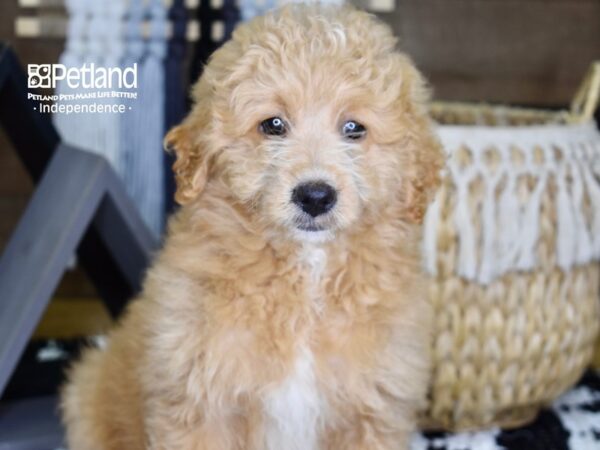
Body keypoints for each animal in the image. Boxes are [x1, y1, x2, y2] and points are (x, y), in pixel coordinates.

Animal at [63, 4, 442, 450]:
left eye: (354, 128)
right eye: (273, 125)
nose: (315, 196)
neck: (305, 274)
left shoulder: (371, 410)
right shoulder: (200, 400)